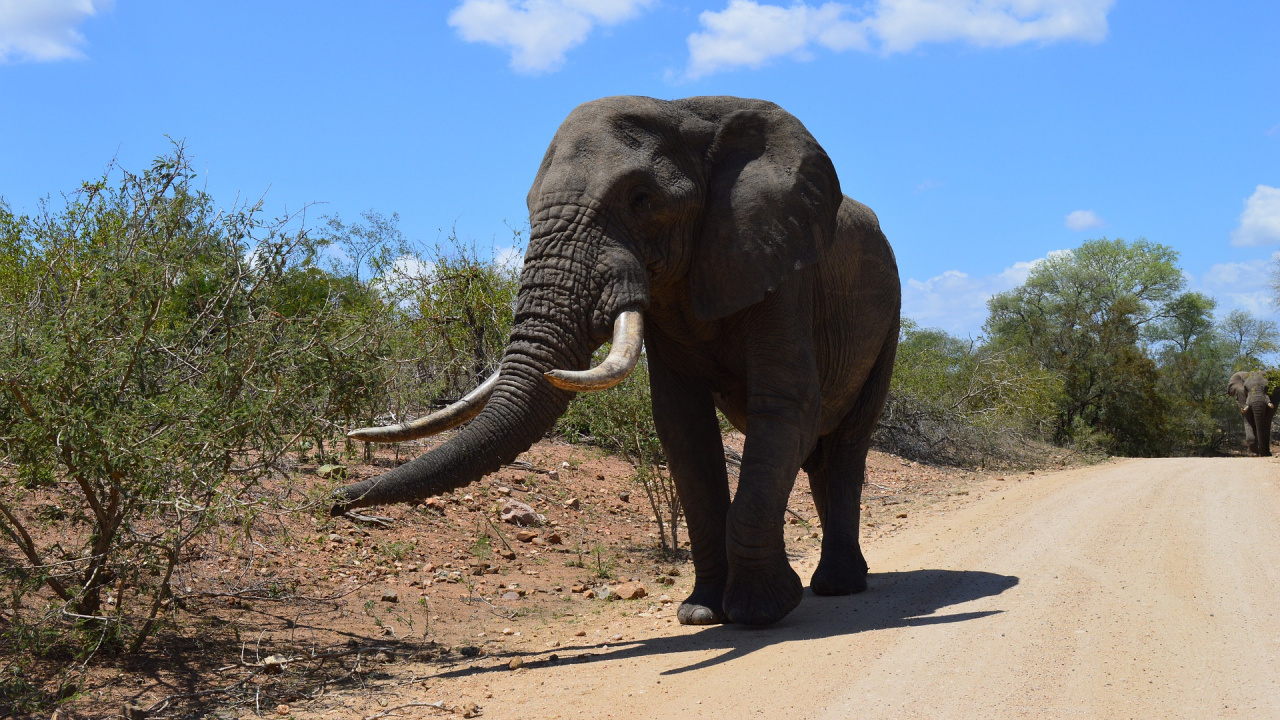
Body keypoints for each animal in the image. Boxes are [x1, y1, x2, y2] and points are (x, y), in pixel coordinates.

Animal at [332, 95, 901, 627]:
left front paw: (759, 613)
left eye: (641, 199)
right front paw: (701, 613)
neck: (689, 115)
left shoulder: (781, 272)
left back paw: (838, 586)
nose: (337, 499)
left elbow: (785, 409)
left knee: (844, 447)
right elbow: (682, 429)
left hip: (888, 318)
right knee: (819, 456)